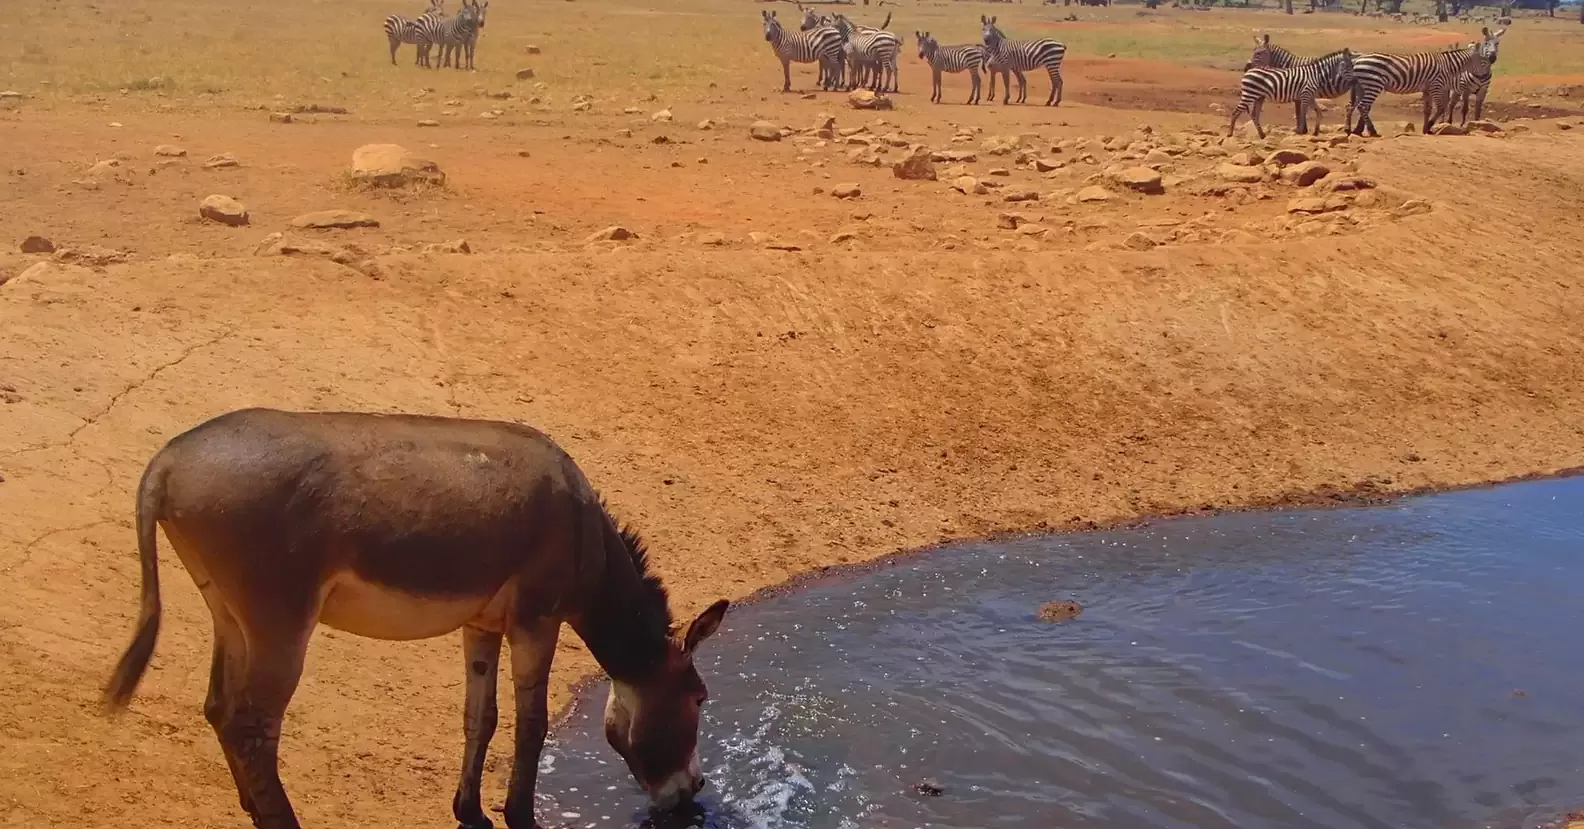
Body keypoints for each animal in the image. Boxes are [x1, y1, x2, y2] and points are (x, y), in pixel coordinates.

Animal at [1343, 28, 1501, 137]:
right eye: (1483, 62)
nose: (1485, 77)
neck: (1448, 66)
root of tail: (1357, 60)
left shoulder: (1428, 89)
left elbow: (1428, 109)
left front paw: (1427, 128)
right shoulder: (1436, 86)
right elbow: (1441, 108)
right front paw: (1429, 126)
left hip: (1362, 86)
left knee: (1351, 106)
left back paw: (1349, 129)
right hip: (1373, 85)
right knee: (1363, 106)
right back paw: (1372, 131)